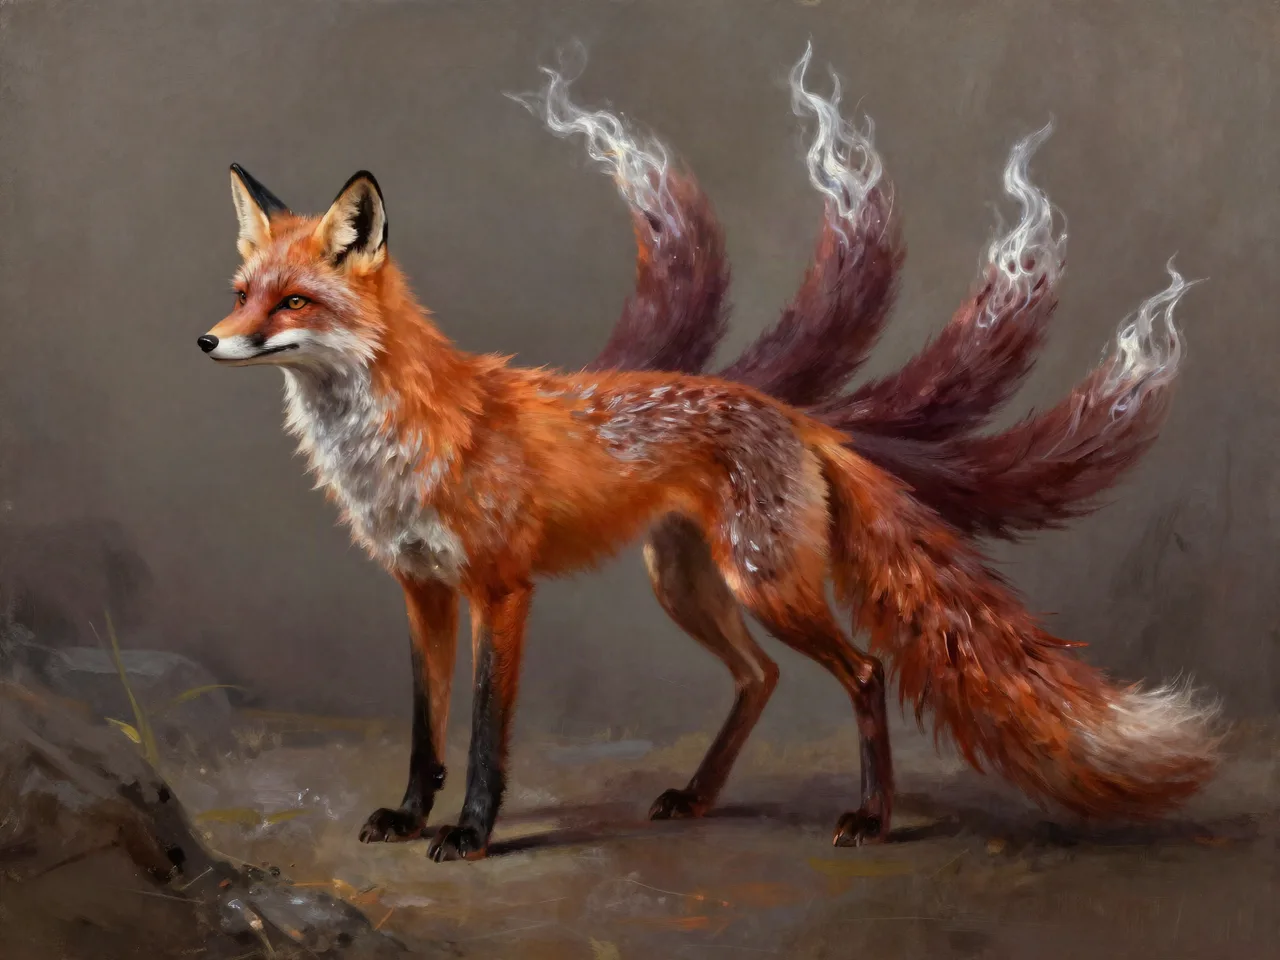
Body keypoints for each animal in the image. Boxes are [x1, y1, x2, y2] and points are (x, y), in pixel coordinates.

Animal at [200, 47, 1219, 862]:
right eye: (243, 291)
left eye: (293, 302)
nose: (207, 342)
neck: (397, 443)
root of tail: (799, 420)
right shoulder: (419, 588)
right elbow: (425, 726)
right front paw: (412, 817)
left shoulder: (500, 590)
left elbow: (486, 735)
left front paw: (472, 833)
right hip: (687, 584)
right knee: (759, 676)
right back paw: (697, 796)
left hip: (763, 583)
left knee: (865, 671)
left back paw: (872, 818)